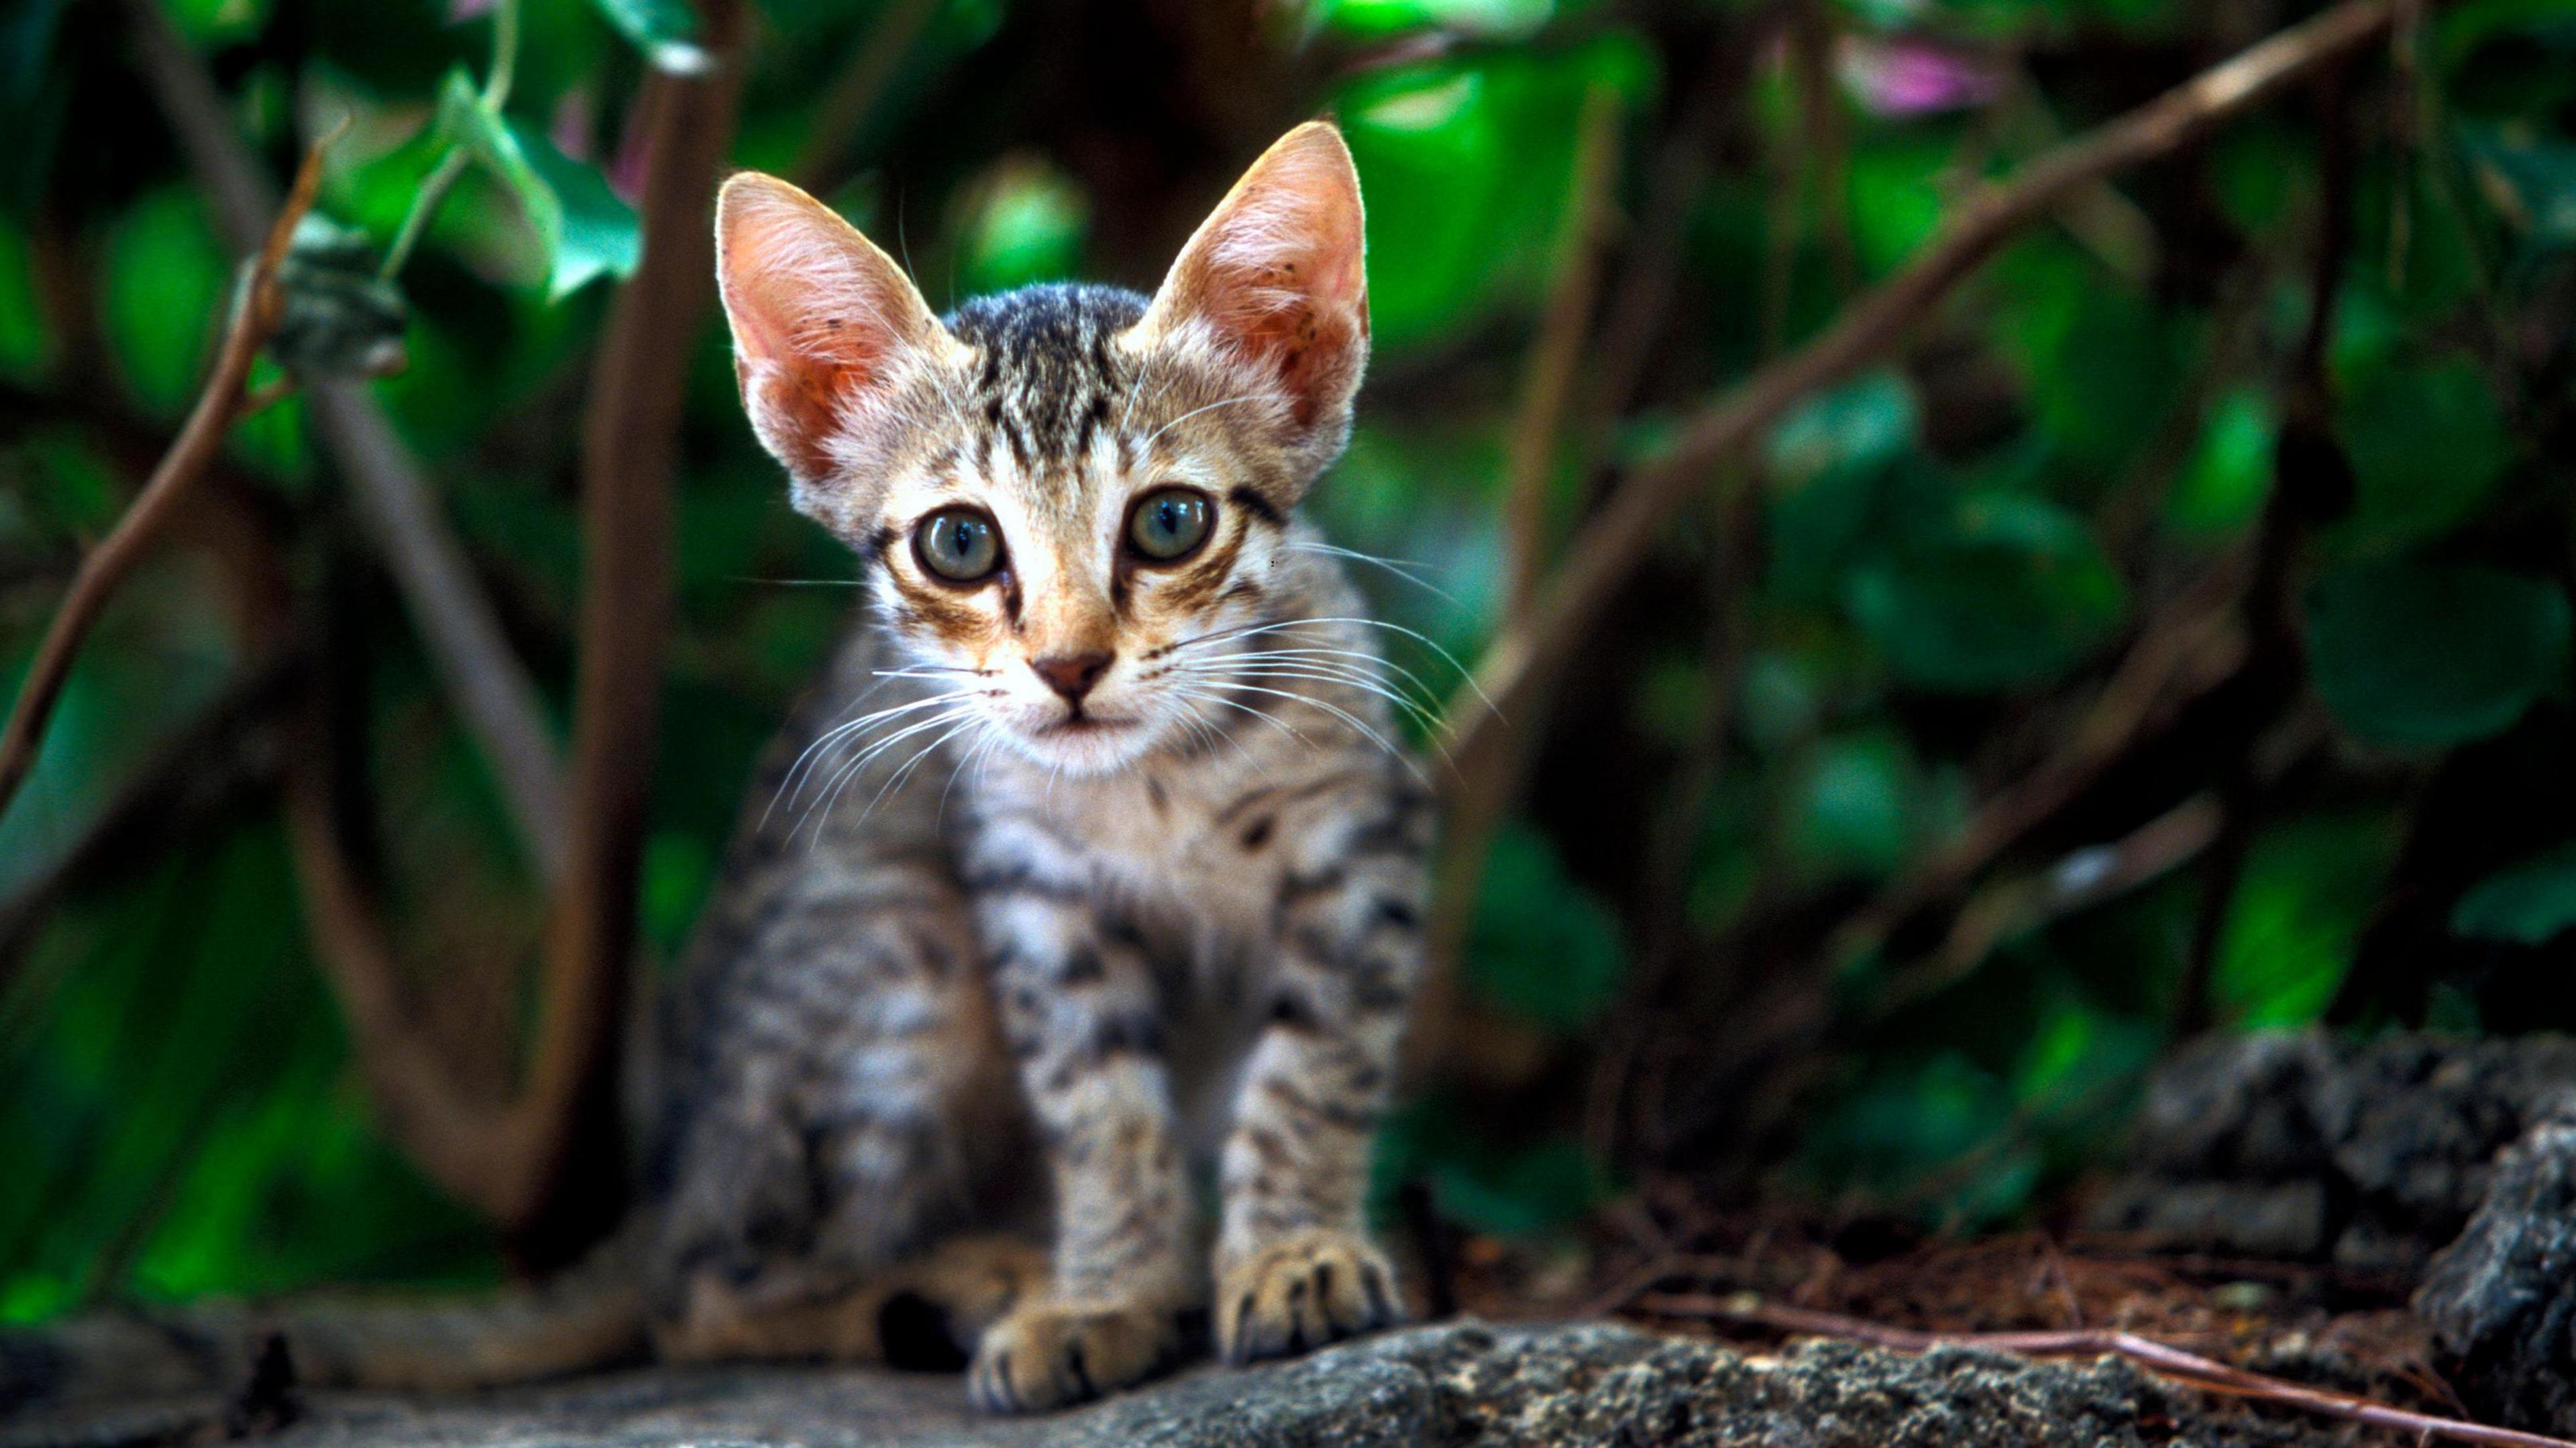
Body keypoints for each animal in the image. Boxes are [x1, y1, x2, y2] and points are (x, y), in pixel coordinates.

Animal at [649, 123, 1432, 1412]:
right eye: (960, 542)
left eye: (1169, 522)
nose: (1069, 664)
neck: (1155, 785)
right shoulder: (1031, 889)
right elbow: (1101, 1108)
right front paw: (1104, 1293)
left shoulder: (1359, 842)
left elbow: (1314, 1068)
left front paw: (1292, 1249)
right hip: (904, 937)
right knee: (703, 1292)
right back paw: (975, 1275)